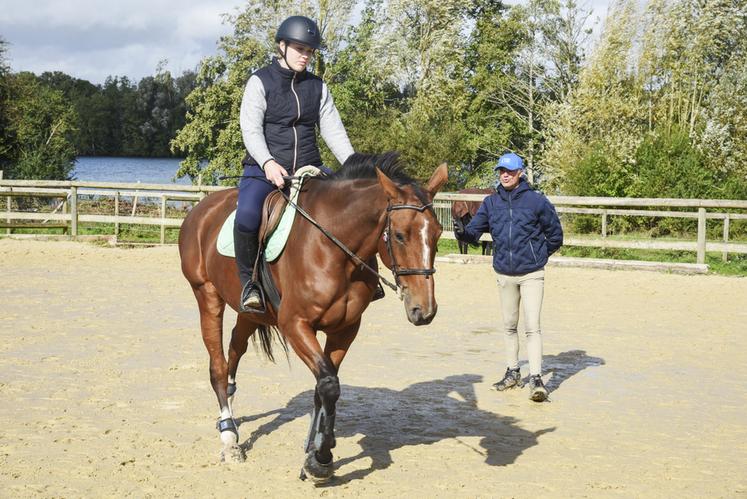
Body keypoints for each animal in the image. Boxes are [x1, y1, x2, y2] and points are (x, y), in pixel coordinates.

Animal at [180, 153, 450, 484]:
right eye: (399, 236)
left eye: (437, 234)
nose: (424, 310)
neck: (333, 247)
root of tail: (202, 208)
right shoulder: (295, 325)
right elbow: (329, 385)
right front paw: (320, 459)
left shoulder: (345, 329)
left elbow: (323, 389)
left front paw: (313, 451)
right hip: (207, 296)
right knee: (217, 365)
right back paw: (229, 437)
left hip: (251, 313)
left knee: (235, 349)